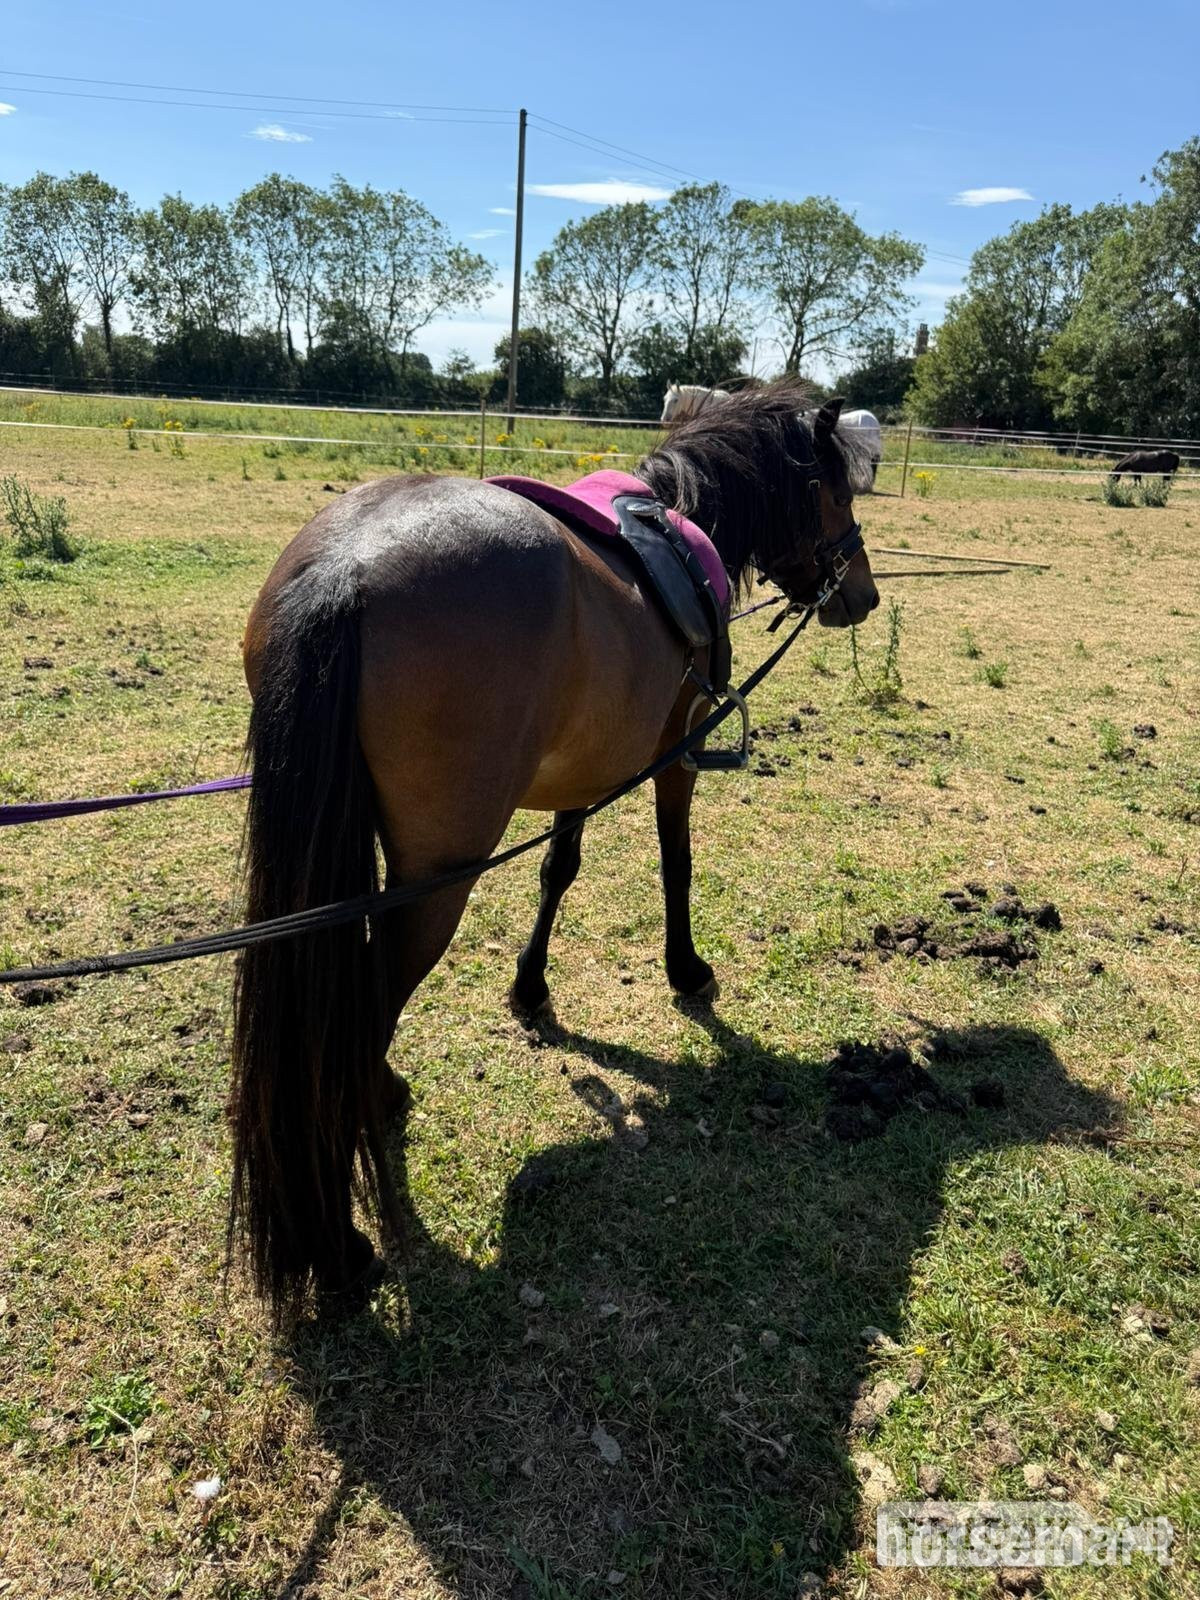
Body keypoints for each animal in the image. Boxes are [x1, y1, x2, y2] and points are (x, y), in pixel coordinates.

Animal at [231, 382, 880, 1322]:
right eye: (833, 489)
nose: (860, 593)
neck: (679, 521)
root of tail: (344, 572)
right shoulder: (674, 750)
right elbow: (675, 861)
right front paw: (687, 970)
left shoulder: (587, 764)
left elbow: (557, 871)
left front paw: (530, 990)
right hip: (435, 881)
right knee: (362, 1009)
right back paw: (348, 1235)